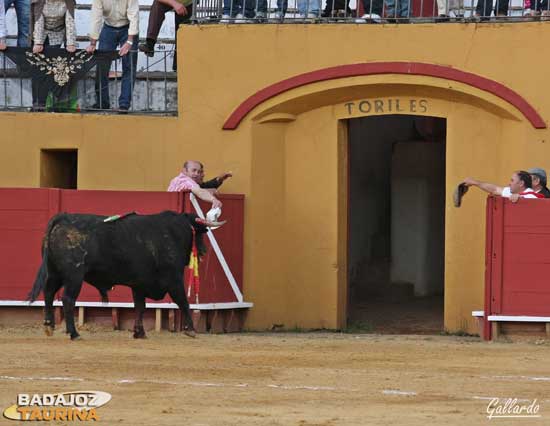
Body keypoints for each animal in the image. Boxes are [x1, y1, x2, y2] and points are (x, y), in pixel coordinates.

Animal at [27, 211, 218, 342]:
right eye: (200, 233)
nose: (203, 251)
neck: (173, 233)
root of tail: (63, 217)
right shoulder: (174, 280)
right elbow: (183, 302)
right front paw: (191, 329)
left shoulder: (139, 284)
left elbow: (140, 307)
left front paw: (139, 332)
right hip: (74, 275)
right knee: (67, 299)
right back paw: (74, 333)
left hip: (55, 273)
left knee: (49, 293)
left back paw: (49, 326)